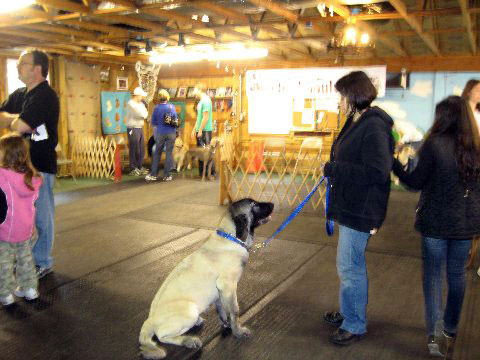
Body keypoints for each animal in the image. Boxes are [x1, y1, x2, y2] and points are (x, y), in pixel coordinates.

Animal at [139, 198, 274, 358]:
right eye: (255, 205)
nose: (272, 204)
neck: (231, 238)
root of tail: (150, 320)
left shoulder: (220, 293)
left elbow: (223, 310)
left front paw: (227, 324)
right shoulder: (228, 287)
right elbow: (235, 311)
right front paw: (238, 331)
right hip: (190, 311)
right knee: (162, 336)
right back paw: (188, 341)